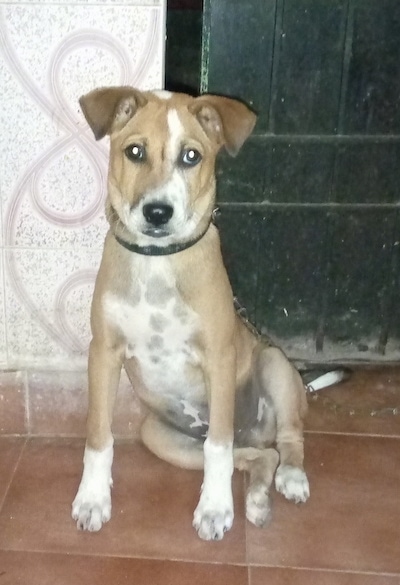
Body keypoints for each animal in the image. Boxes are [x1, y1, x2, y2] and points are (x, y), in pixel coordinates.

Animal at [72, 85, 310, 540]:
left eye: (191, 156)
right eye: (134, 151)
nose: (157, 212)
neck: (158, 260)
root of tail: (253, 429)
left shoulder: (218, 356)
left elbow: (218, 447)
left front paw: (215, 509)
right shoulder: (103, 353)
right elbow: (98, 437)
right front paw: (92, 499)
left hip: (274, 365)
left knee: (284, 440)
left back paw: (290, 478)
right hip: (160, 437)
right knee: (256, 456)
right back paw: (257, 499)